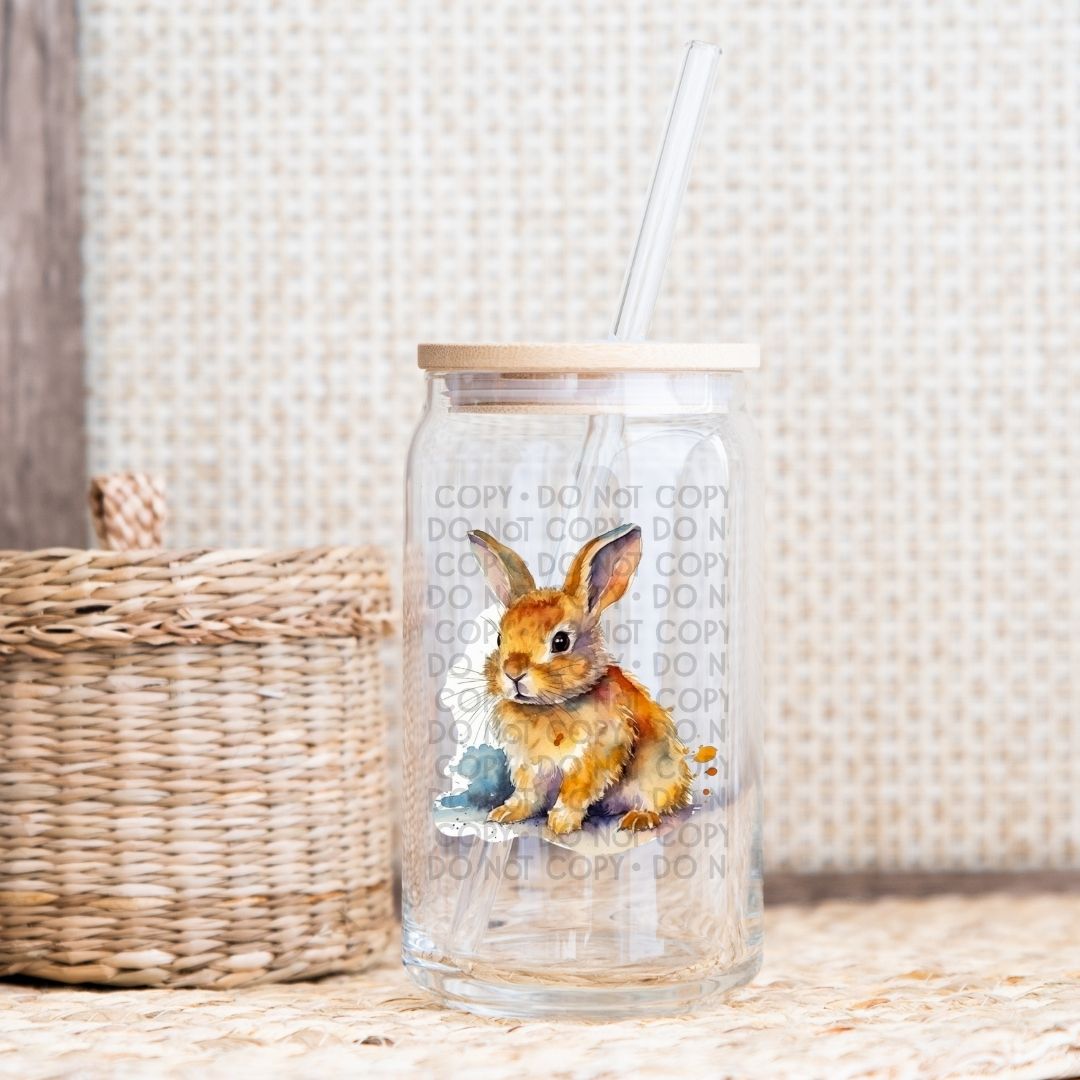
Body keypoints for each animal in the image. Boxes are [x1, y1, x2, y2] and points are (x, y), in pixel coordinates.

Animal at [468, 523, 692, 836]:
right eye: (500, 638)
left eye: (561, 641)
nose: (513, 672)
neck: (547, 706)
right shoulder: (528, 764)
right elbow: (527, 792)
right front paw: (506, 812)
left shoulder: (599, 752)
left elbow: (576, 790)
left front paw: (561, 823)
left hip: (659, 772)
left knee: (656, 802)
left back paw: (638, 819)